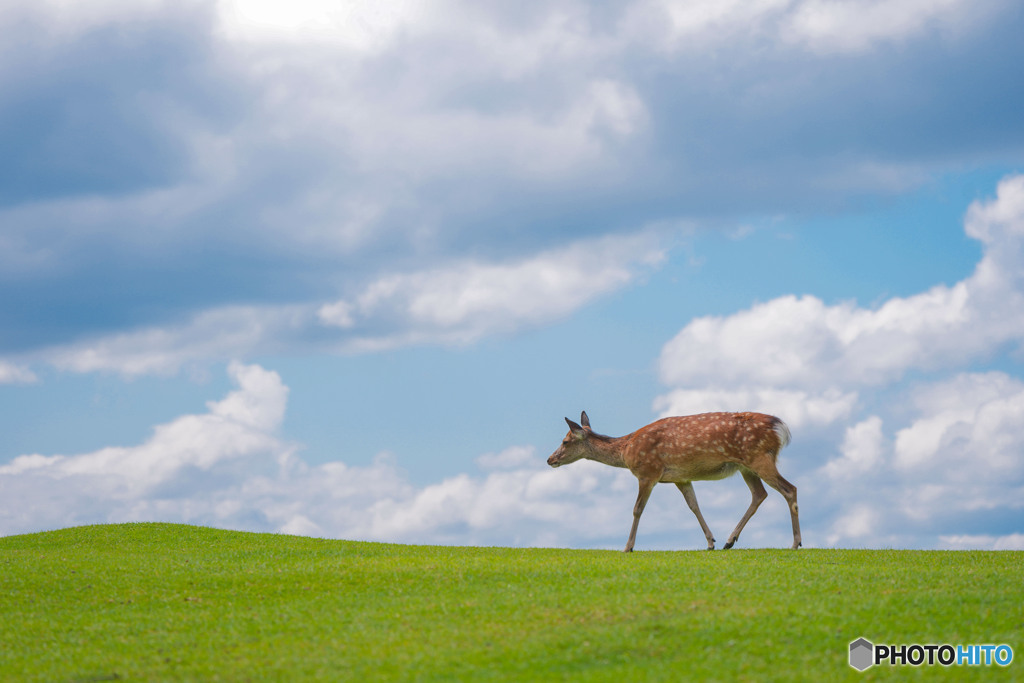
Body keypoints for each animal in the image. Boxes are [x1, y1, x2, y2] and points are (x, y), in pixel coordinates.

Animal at [548, 411, 802, 548]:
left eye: (565, 441)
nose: (550, 459)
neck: (626, 450)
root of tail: (781, 428)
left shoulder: (648, 472)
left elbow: (637, 509)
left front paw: (628, 547)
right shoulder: (681, 478)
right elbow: (694, 506)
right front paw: (710, 542)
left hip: (759, 458)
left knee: (789, 489)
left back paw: (795, 543)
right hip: (745, 466)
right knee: (759, 494)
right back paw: (730, 541)